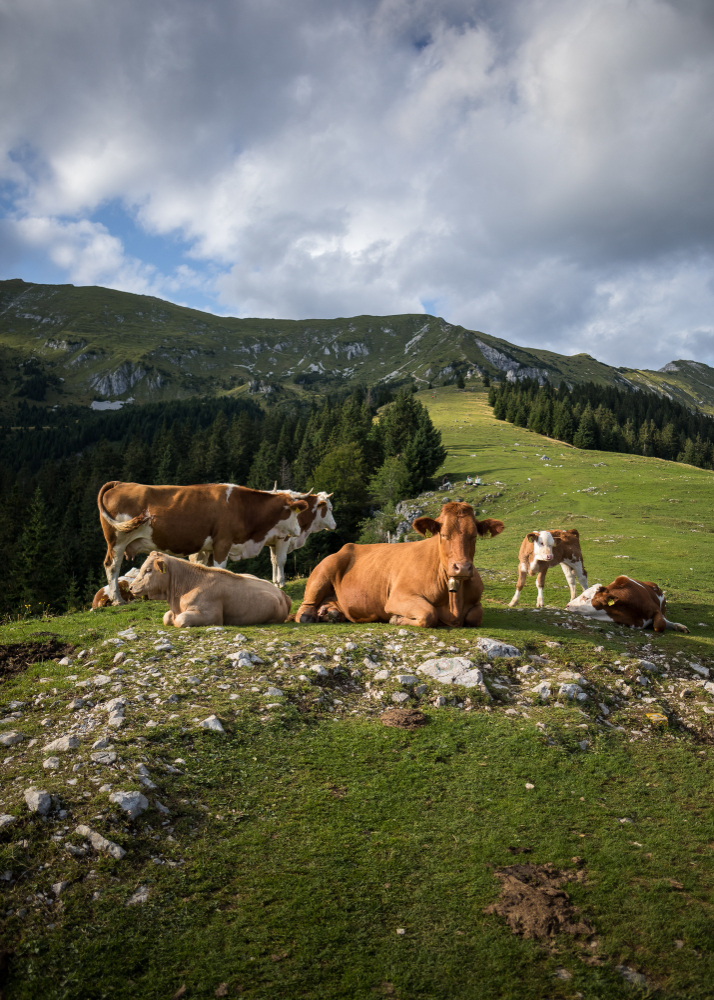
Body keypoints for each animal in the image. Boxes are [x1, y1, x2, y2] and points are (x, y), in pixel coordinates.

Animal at [96, 482, 306, 604]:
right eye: (293, 511)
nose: (297, 531)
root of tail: (120, 483)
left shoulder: (211, 547)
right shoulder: (223, 542)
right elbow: (221, 569)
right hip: (117, 540)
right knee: (111, 566)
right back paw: (117, 599)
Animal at [128, 552, 290, 628]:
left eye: (148, 570)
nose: (130, 587)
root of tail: (282, 594)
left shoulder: (212, 616)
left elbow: (181, 620)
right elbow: (166, 617)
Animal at [292, 504, 504, 628]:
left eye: (474, 535)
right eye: (443, 535)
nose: (462, 567)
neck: (454, 604)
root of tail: (346, 547)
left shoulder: (475, 603)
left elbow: (475, 616)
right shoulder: (397, 597)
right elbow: (429, 614)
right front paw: (395, 619)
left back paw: (332, 614)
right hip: (323, 570)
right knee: (303, 611)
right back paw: (312, 616)